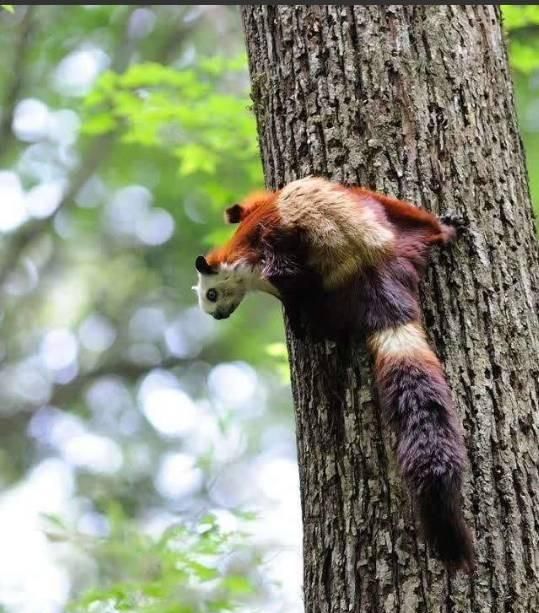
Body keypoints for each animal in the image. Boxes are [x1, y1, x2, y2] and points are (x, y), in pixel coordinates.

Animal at [196, 175, 474, 572]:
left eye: (211, 295)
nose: (217, 316)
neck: (234, 258)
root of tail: (373, 265)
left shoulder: (267, 258)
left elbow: (283, 275)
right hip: (393, 223)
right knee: (418, 224)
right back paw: (445, 229)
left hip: (331, 280)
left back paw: (312, 325)